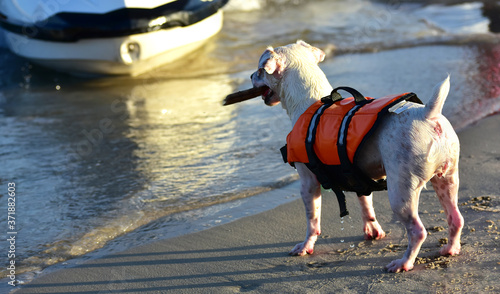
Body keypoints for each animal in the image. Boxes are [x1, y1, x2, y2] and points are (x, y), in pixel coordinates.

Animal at [250, 40, 464, 272]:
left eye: (260, 70)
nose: (250, 76)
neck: (311, 102)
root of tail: (428, 115)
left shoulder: (308, 183)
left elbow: (312, 221)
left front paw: (306, 246)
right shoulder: (357, 176)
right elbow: (366, 205)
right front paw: (373, 231)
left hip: (401, 193)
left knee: (418, 231)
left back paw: (404, 262)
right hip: (447, 179)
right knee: (456, 218)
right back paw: (450, 249)